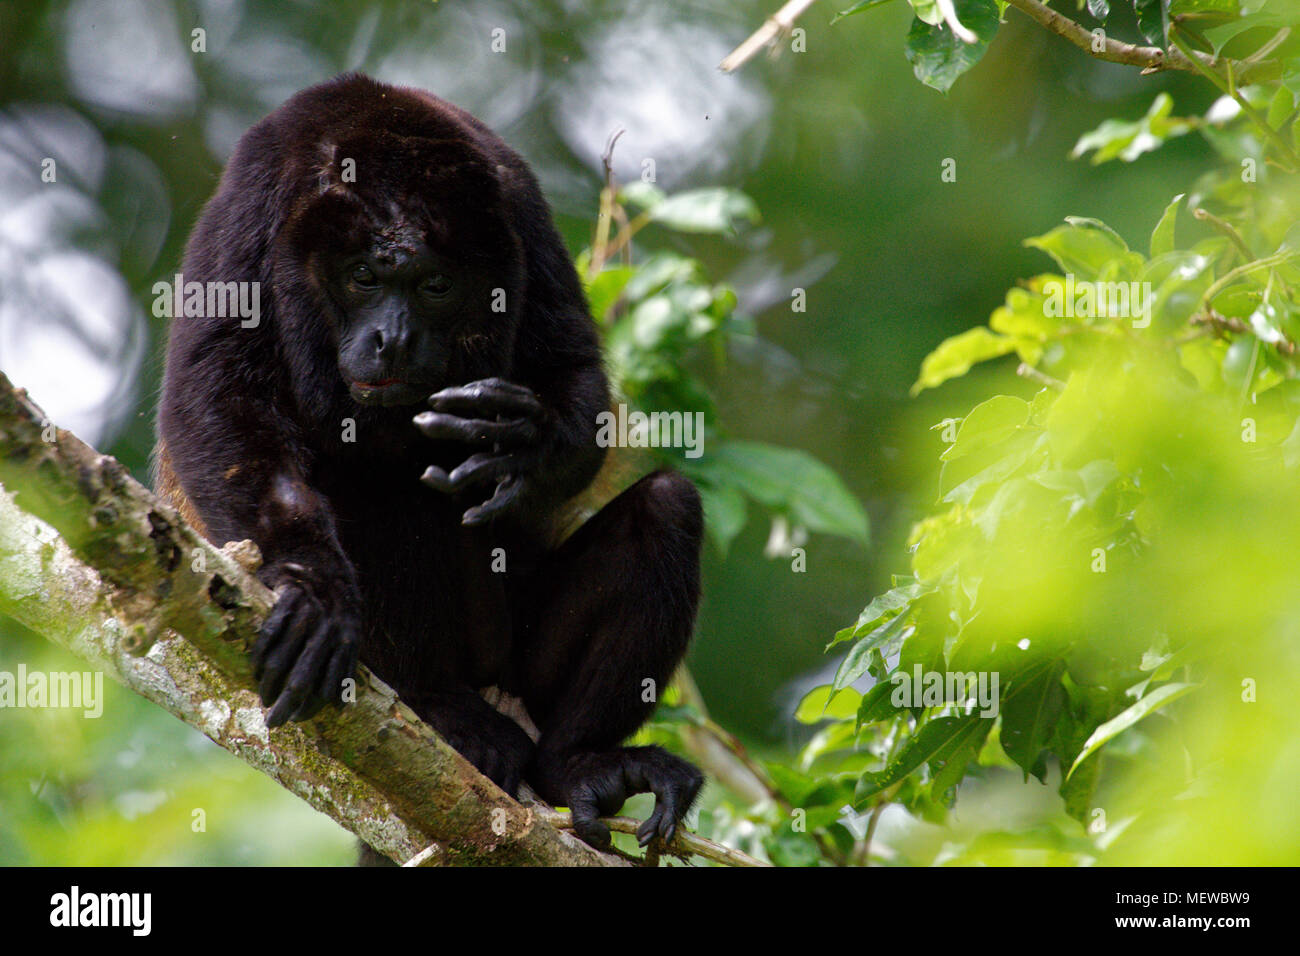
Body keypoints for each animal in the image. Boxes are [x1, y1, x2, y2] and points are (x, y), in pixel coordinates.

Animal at [156, 74, 707, 853]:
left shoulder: (519, 206)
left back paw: (578, 764)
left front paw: (525, 446)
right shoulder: (254, 197)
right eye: (362, 277)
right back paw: (437, 707)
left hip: (516, 663)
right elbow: (217, 398)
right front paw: (310, 587)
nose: (392, 338)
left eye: (436, 286)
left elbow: (573, 373)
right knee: (377, 483)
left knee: (667, 509)